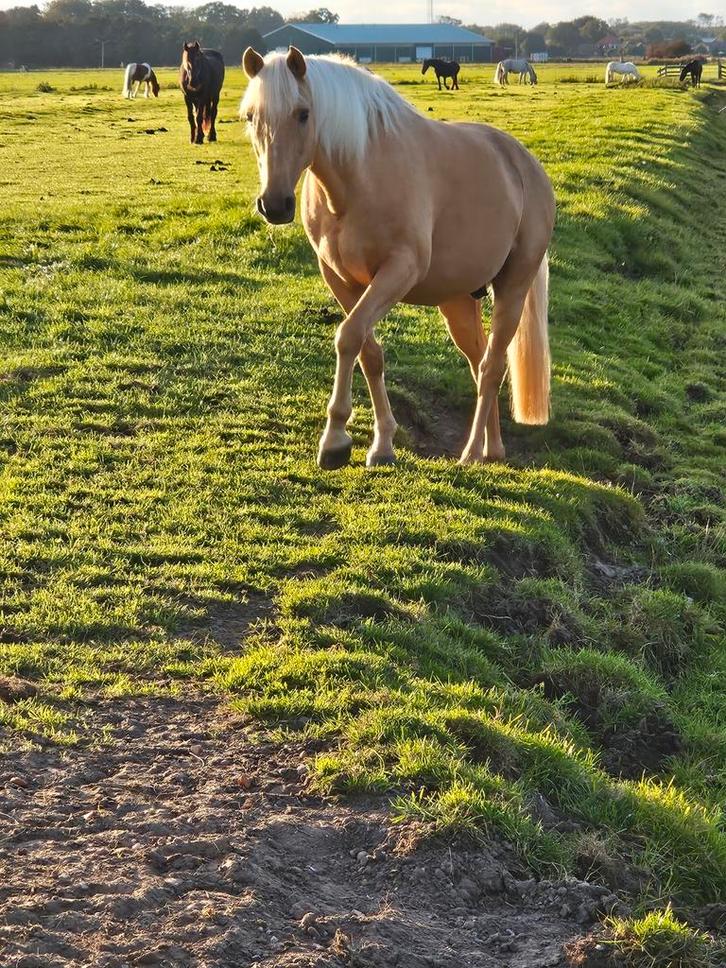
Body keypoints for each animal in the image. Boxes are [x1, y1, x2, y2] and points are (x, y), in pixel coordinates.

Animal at [241, 48, 555, 469]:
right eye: (251, 116)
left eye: (303, 113)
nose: (274, 204)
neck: (359, 178)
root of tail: (527, 165)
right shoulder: (341, 279)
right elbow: (368, 352)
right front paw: (382, 444)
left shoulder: (399, 270)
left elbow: (348, 336)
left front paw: (335, 440)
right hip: (458, 301)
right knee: (480, 363)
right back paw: (493, 448)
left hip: (513, 289)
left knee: (492, 367)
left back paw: (472, 452)